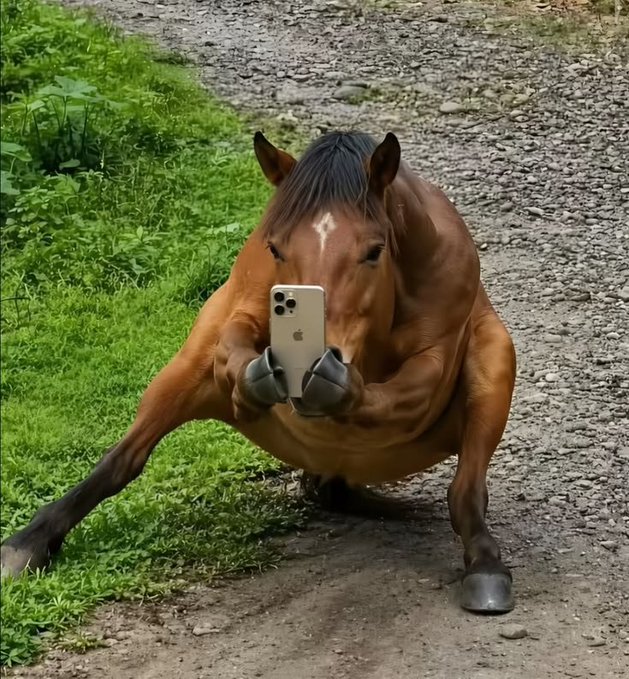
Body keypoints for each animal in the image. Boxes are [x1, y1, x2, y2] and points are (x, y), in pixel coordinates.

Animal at [1, 131, 517, 614]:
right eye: (276, 248)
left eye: (374, 251)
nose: (315, 359)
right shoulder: (242, 304)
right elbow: (233, 338)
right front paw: (257, 376)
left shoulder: (438, 352)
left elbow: (412, 388)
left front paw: (337, 385)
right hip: (182, 374)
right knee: (123, 458)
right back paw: (26, 544)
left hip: (497, 360)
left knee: (464, 491)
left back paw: (485, 565)